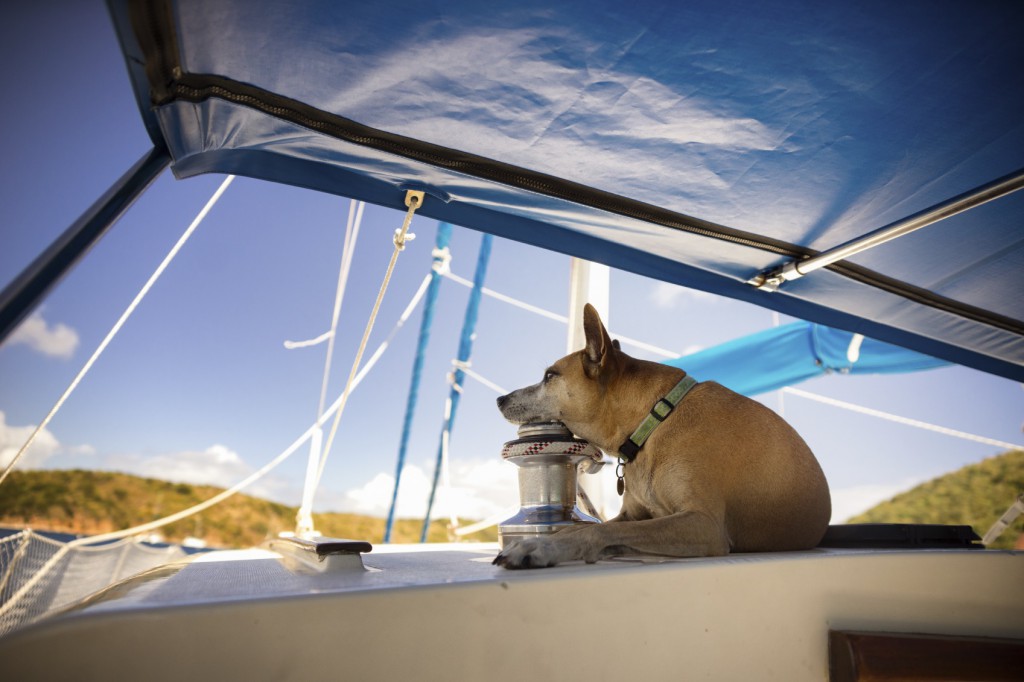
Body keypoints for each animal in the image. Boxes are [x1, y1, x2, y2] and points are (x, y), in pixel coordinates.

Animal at [489, 303, 831, 569]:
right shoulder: (632, 517)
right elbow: (588, 530)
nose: (500, 399)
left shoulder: (703, 524)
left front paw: (541, 547)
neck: (652, 421)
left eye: (550, 376)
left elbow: (594, 531)